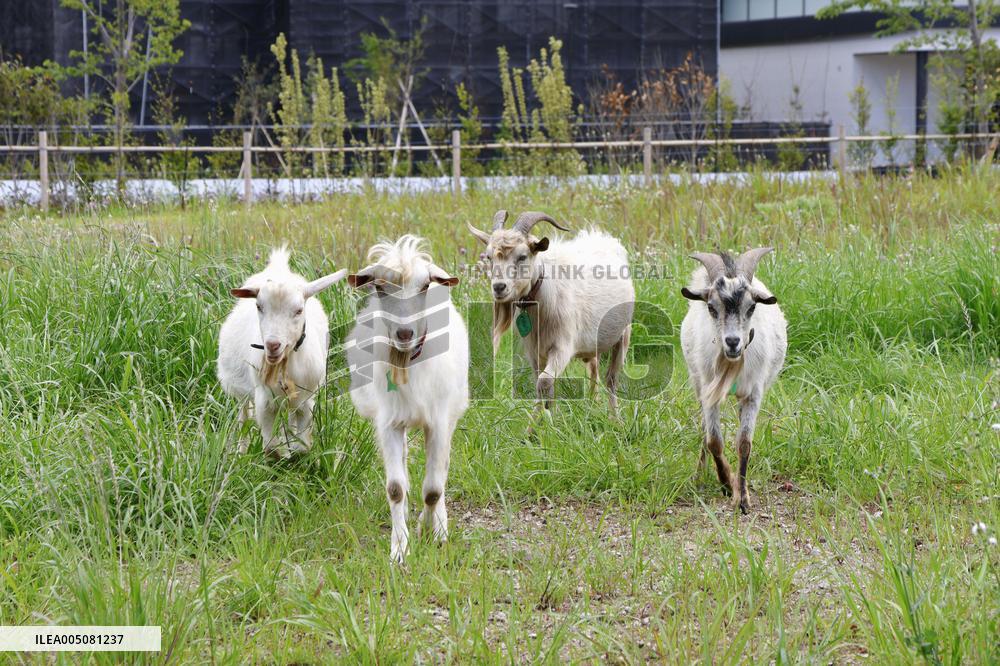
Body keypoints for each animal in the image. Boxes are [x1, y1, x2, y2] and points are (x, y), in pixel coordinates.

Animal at [217, 247, 347, 458]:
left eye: (299, 310)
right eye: (259, 306)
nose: (272, 345)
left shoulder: (306, 401)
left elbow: (302, 447)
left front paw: (294, 455)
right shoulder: (264, 401)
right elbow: (271, 449)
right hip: (240, 390)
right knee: (243, 419)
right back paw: (240, 452)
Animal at [344, 235, 469, 564]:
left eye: (424, 285)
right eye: (379, 286)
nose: (404, 333)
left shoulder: (438, 422)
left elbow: (434, 489)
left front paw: (431, 531)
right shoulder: (388, 423)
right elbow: (396, 488)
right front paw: (400, 549)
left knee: (442, 469)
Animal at [468, 210, 634, 414]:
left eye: (522, 256)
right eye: (489, 257)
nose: (499, 287)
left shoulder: (562, 346)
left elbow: (543, 382)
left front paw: (543, 419)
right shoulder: (534, 351)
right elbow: (542, 384)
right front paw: (542, 419)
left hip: (623, 334)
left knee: (611, 378)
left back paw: (614, 417)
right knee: (594, 369)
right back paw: (593, 404)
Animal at [680, 247, 787, 513]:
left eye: (751, 307)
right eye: (711, 307)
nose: (732, 342)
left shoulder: (753, 394)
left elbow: (744, 442)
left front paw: (743, 498)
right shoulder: (709, 390)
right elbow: (714, 441)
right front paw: (727, 483)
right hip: (697, 382)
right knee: (703, 431)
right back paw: (699, 476)